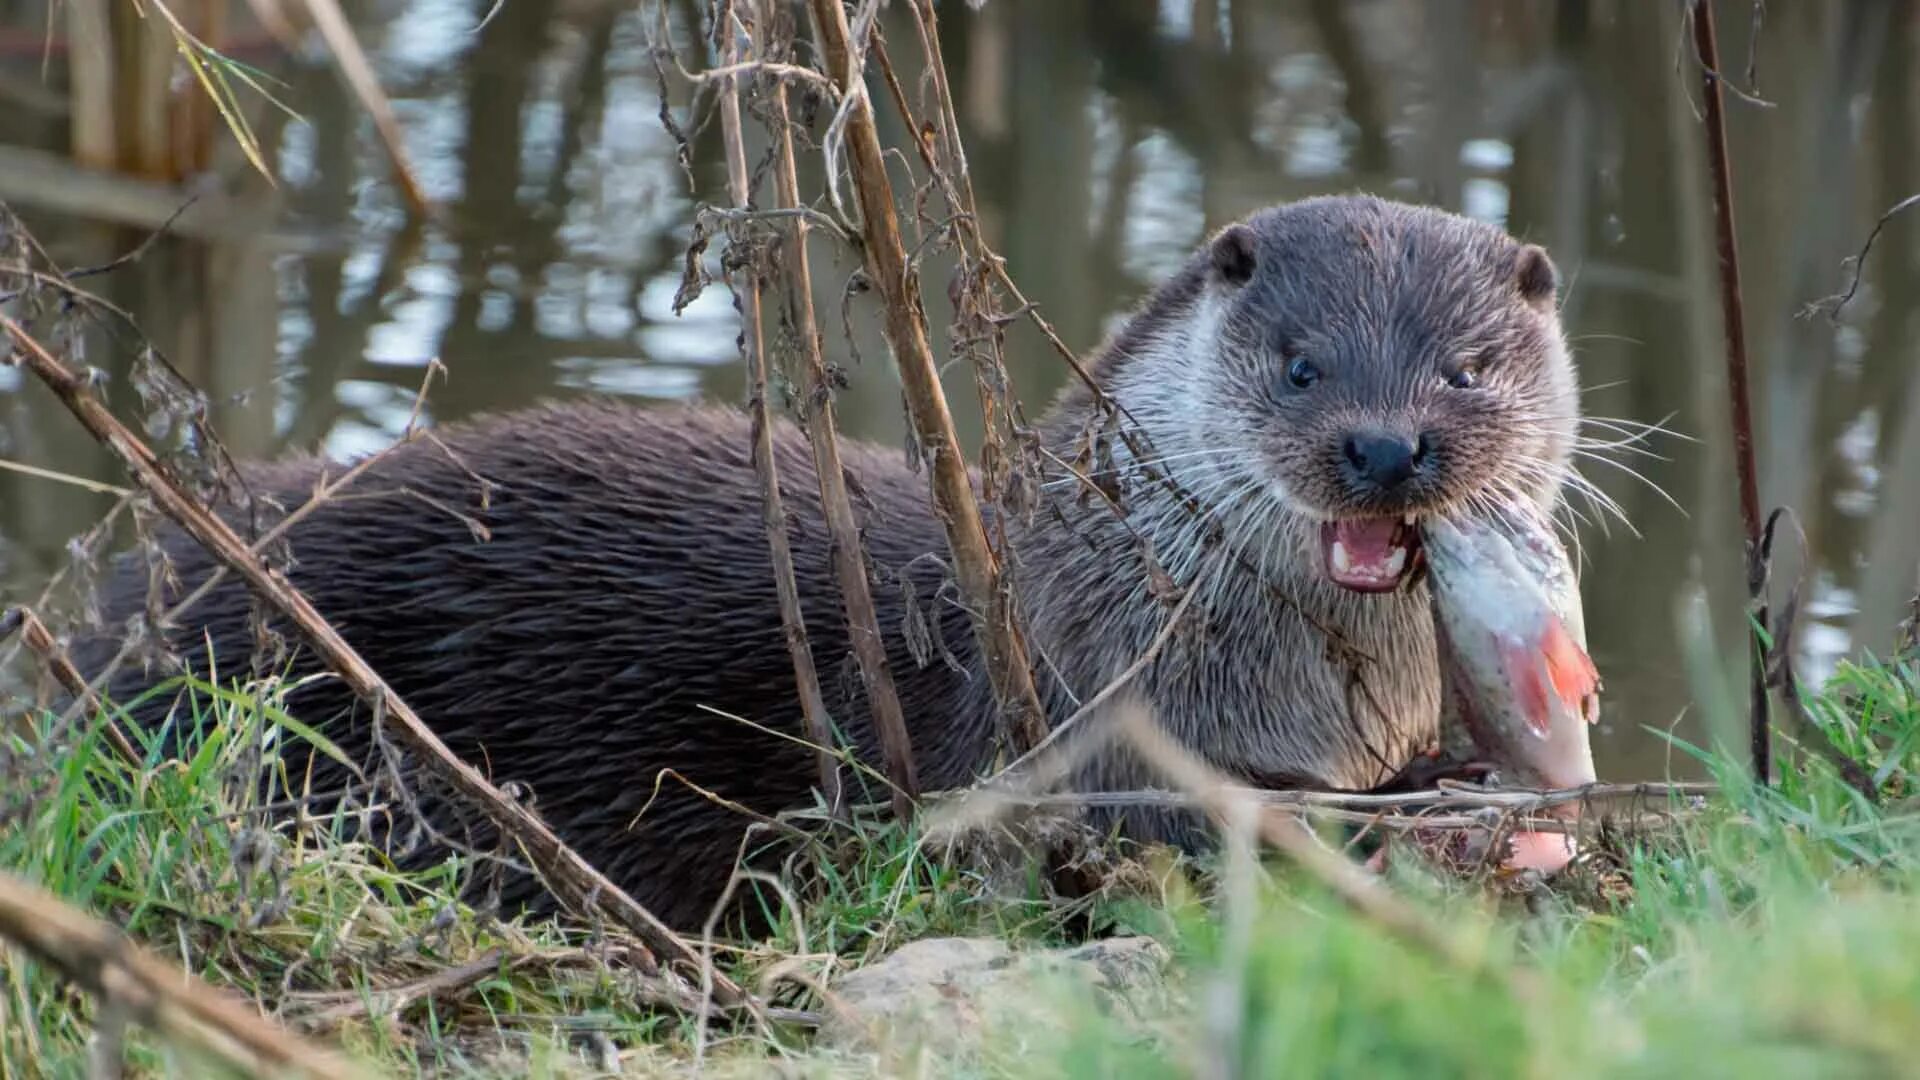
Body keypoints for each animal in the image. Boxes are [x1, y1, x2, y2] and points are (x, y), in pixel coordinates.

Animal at [71, 195, 1574, 926]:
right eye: (1302, 365)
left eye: (1464, 367)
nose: (1385, 447)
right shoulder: (1087, 717)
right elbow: (1200, 817)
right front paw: (1428, 798)